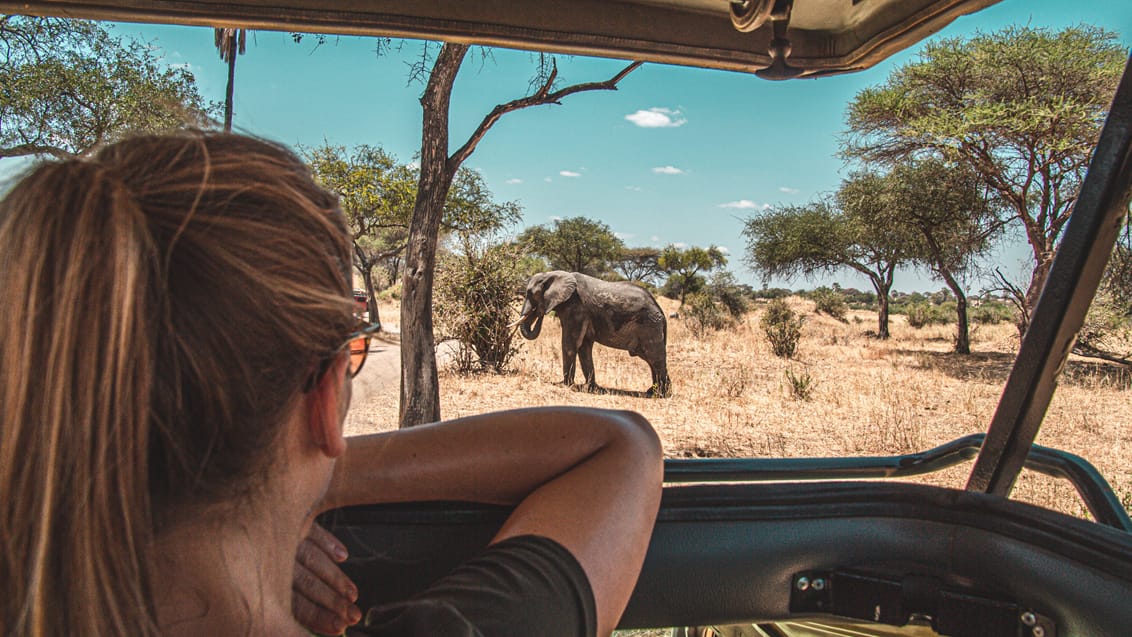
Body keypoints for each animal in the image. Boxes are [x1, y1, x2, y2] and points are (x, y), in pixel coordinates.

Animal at [516, 270, 670, 398]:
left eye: (530, 293)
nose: (539, 312)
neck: (553, 274)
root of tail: (661, 312)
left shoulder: (576, 307)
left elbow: (570, 343)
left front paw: (565, 384)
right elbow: (584, 347)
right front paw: (590, 388)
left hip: (650, 325)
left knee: (654, 357)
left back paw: (661, 394)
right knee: (650, 359)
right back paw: (652, 391)